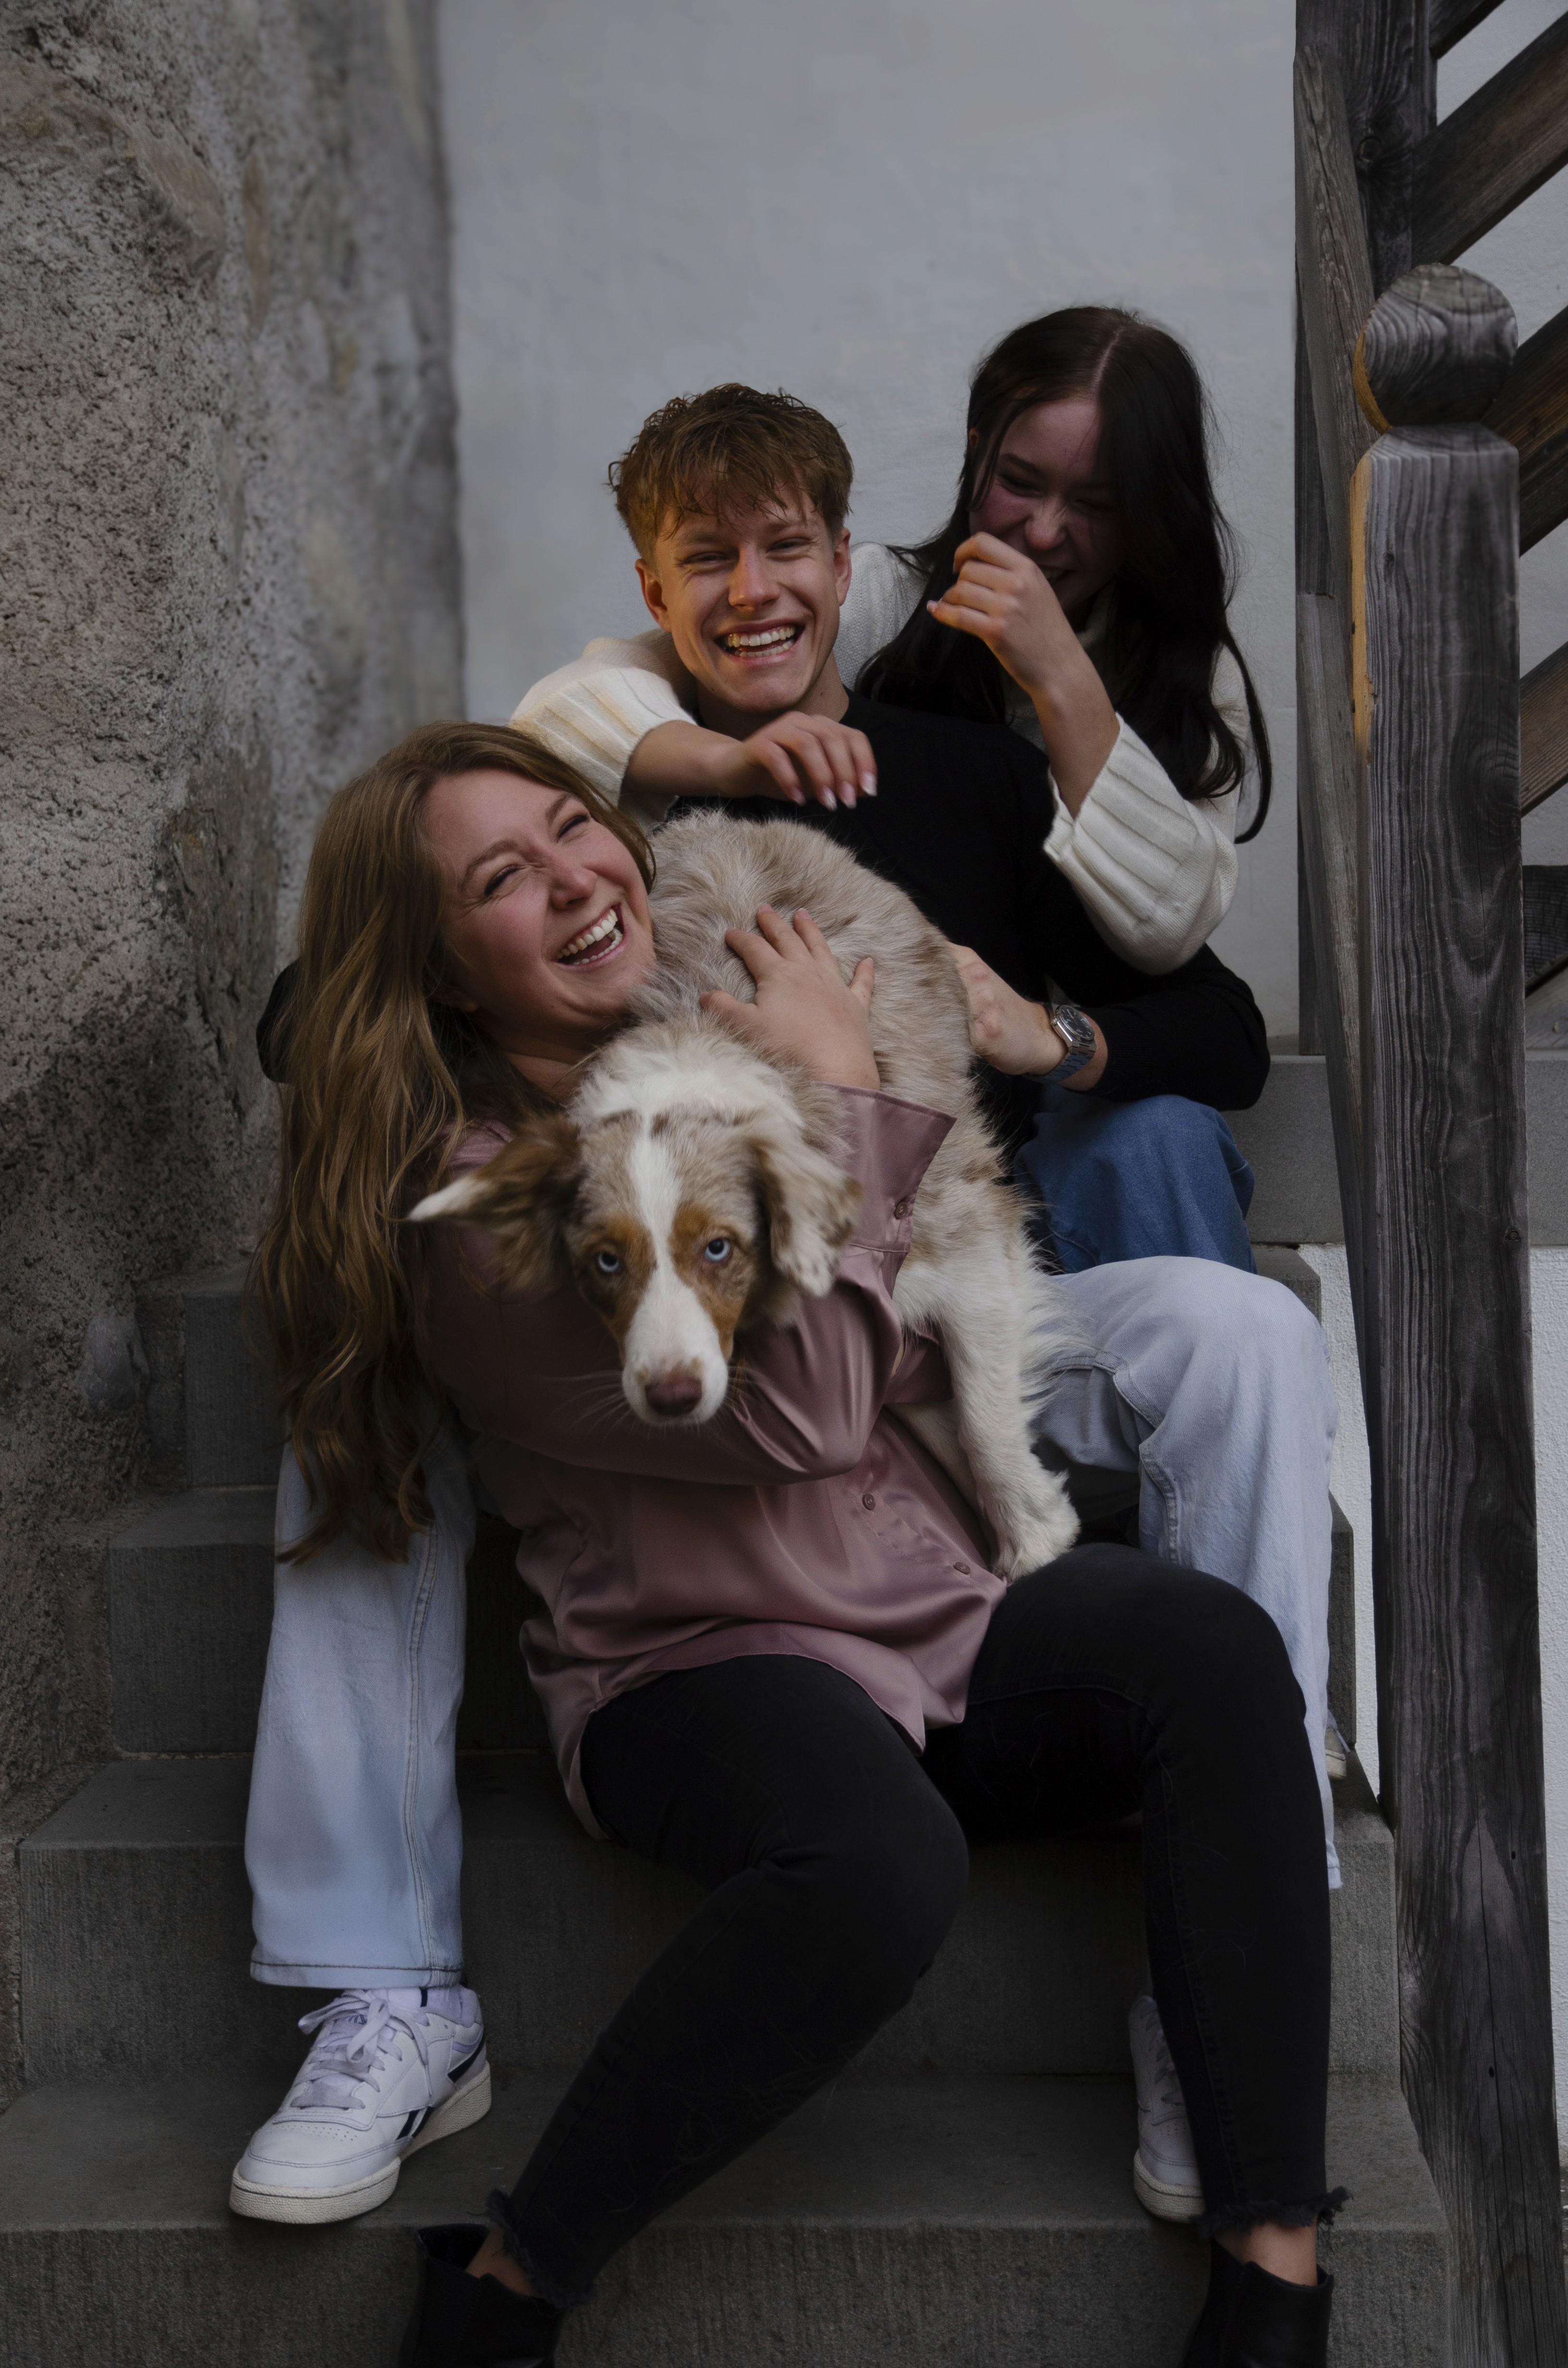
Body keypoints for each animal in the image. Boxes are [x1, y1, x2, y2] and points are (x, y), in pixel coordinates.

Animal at [413, 811, 1079, 1578]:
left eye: (717, 1249)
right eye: (604, 1264)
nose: (668, 1398)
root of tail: (735, 818)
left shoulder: (967, 1242)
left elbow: (981, 1410)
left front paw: (1030, 1534)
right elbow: (934, 1410)